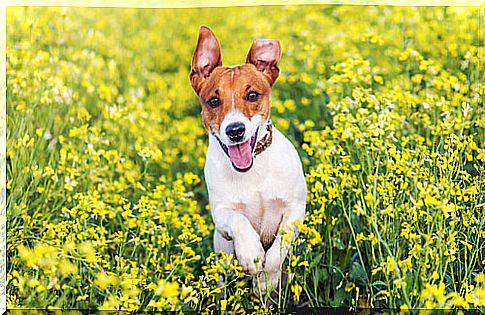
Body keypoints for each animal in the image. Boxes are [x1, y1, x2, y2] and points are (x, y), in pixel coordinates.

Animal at [189, 26, 306, 296]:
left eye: (252, 95)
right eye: (213, 101)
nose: (235, 130)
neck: (253, 172)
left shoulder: (295, 210)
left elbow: (278, 249)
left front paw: (266, 281)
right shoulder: (221, 215)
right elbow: (239, 220)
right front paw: (251, 253)